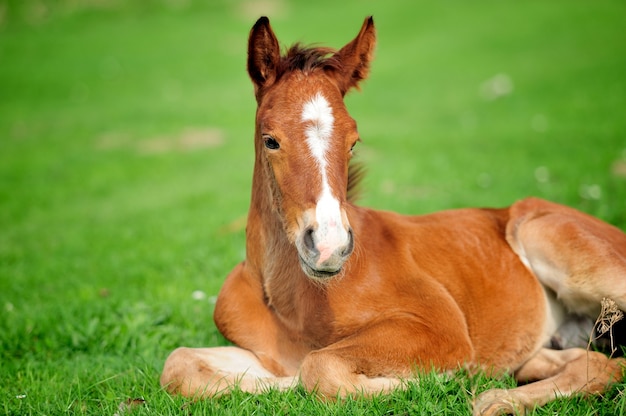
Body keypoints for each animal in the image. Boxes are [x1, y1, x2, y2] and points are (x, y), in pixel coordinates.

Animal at [162, 17, 624, 416]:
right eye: (270, 139)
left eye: (353, 141)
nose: (328, 247)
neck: (292, 301)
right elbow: (178, 364)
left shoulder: (439, 326)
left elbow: (319, 367)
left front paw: (430, 381)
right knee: (587, 361)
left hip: (556, 244)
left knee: (608, 364)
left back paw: (493, 398)